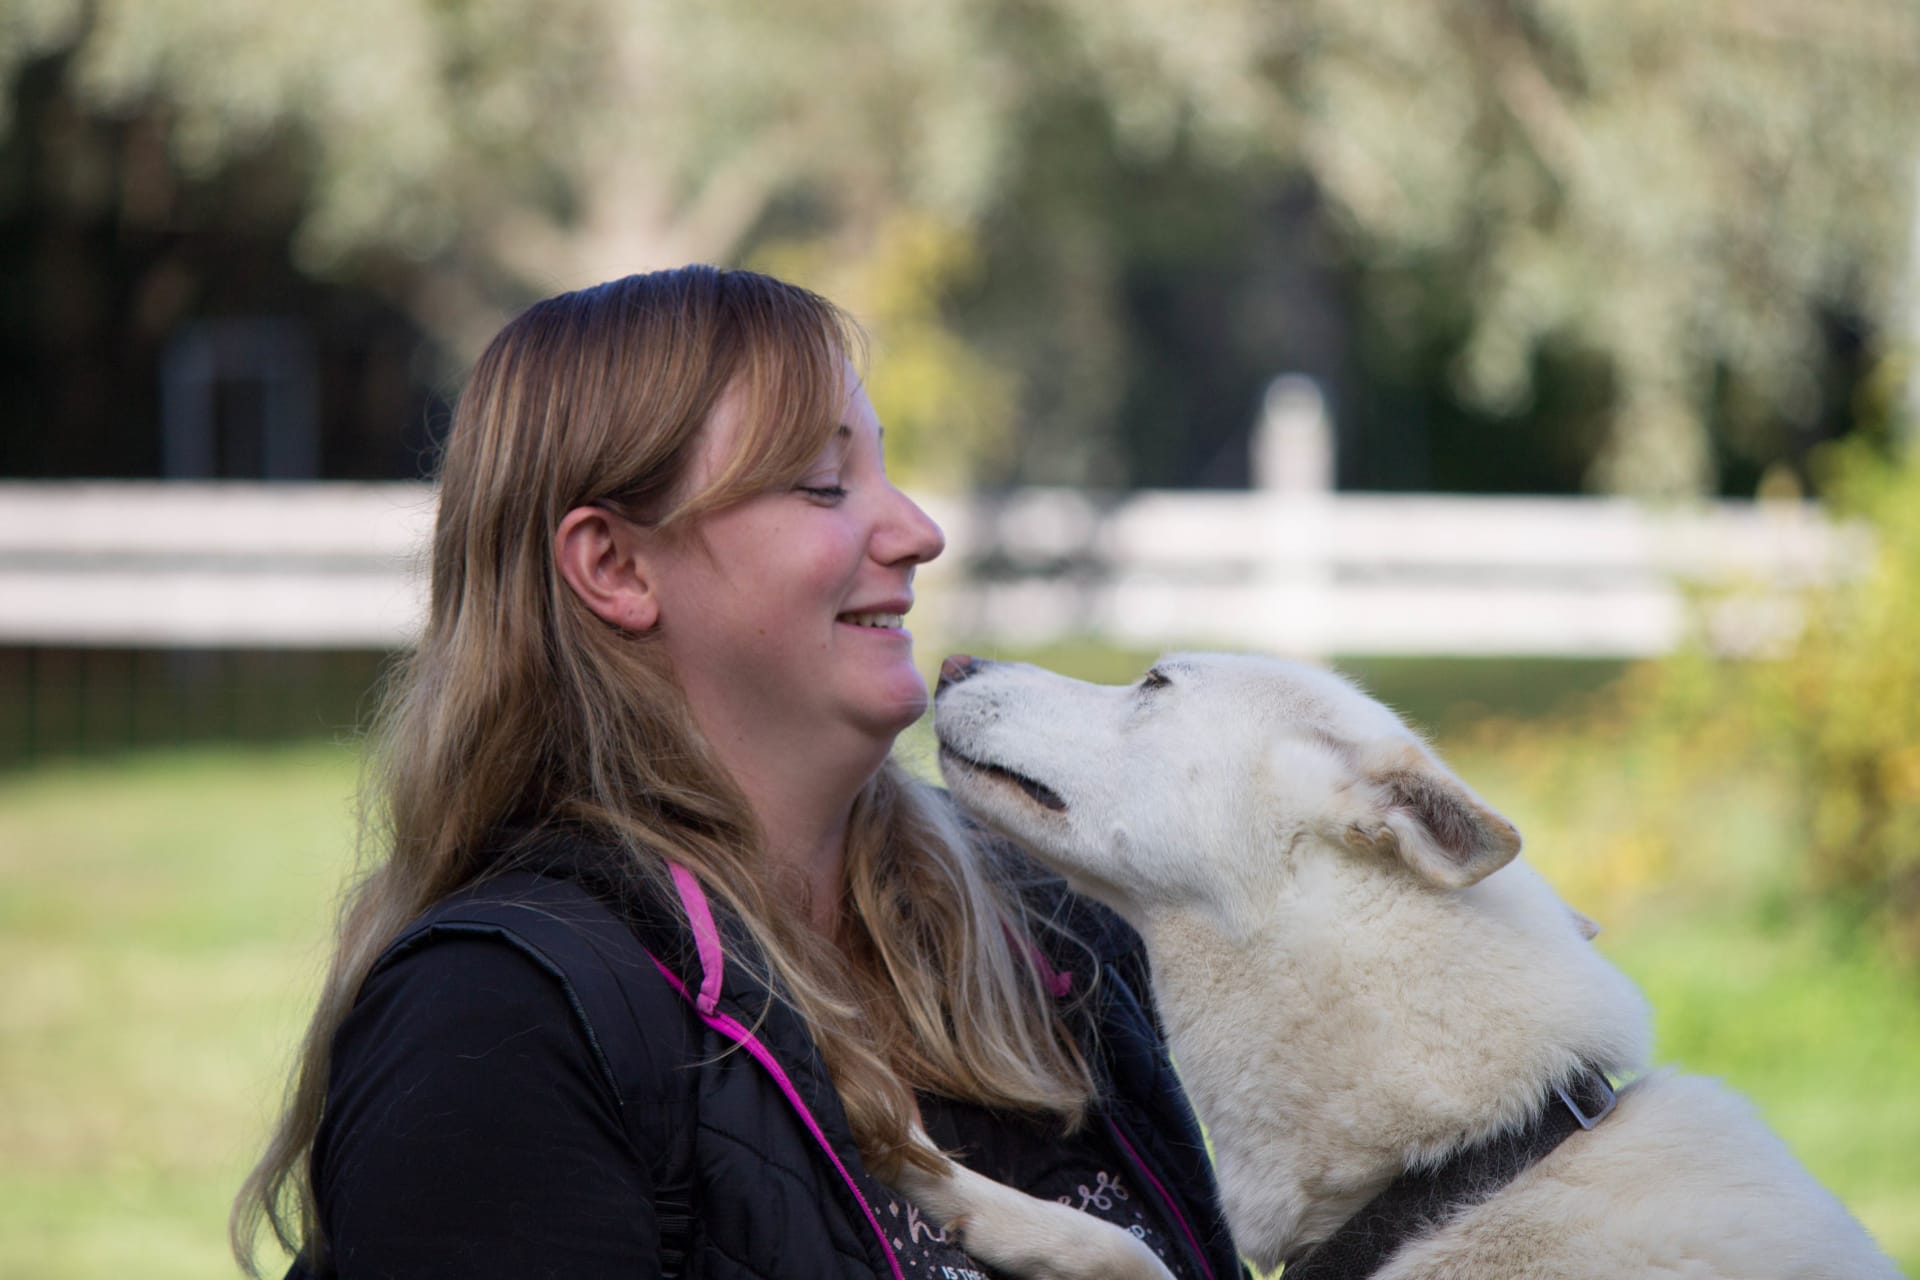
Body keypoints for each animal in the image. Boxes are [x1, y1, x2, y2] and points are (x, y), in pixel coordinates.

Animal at [929, 656, 1904, 1274]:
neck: (1475, 1157)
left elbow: (1123, 1248)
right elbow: (1128, 1252)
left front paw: (952, 1189)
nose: (951, 663)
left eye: (1155, 682)